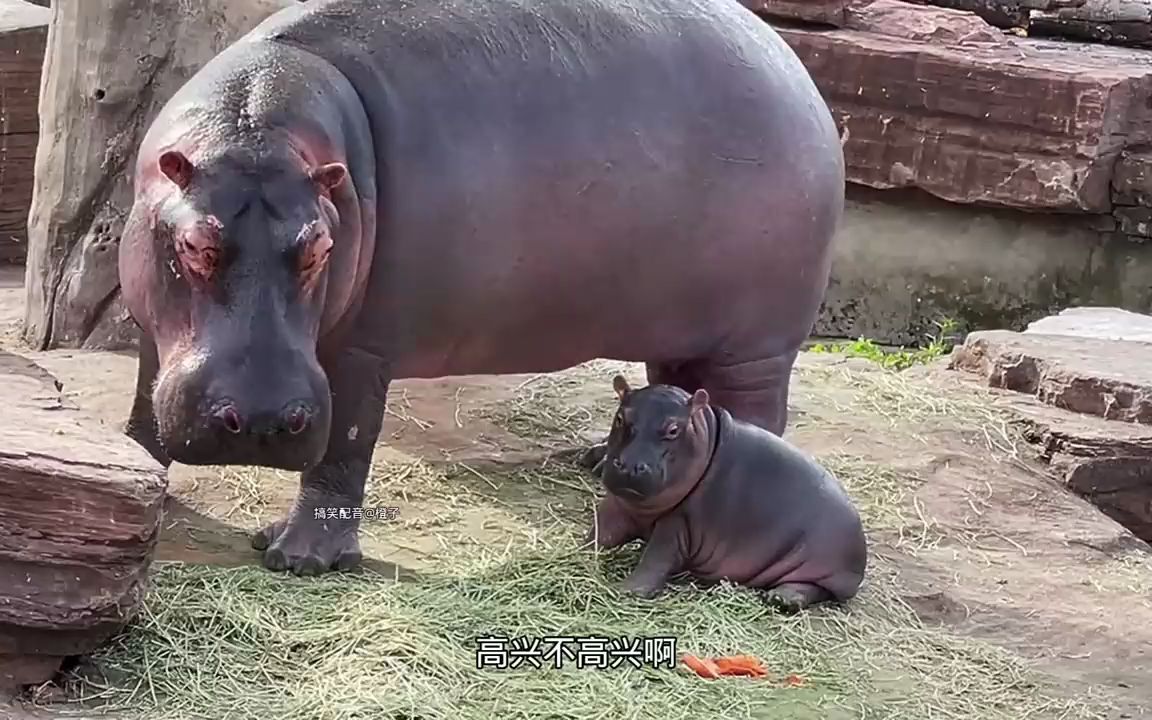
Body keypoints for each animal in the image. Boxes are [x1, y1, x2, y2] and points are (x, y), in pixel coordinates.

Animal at [119, 0, 847, 576]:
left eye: (321, 248)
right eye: (194, 245)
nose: (264, 421)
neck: (260, 127)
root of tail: (799, 72)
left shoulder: (362, 348)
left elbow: (344, 446)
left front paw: (298, 558)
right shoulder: (158, 330)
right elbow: (144, 407)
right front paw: (140, 484)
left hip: (757, 346)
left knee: (753, 417)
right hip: (678, 327)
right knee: (677, 385)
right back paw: (596, 459)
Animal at [585, 373, 866, 608]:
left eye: (674, 429)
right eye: (620, 417)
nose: (630, 465)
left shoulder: (678, 524)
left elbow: (656, 559)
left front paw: (626, 590)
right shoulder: (619, 503)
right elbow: (601, 531)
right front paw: (582, 551)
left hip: (827, 568)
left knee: (817, 589)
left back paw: (782, 599)